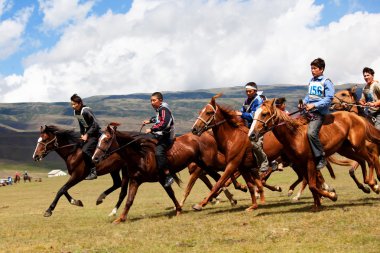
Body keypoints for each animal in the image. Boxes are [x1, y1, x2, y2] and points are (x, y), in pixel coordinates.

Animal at [251, 98, 380, 210]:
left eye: (264, 114)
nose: (252, 135)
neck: (295, 135)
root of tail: (356, 117)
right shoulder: (300, 164)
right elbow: (311, 184)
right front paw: (317, 204)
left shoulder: (310, 162)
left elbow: (312, 185)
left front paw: (332, 196)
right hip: (345, 149)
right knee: (361, 161)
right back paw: (367, 187)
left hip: (358, 146)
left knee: (370, 160)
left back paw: (373, 184)